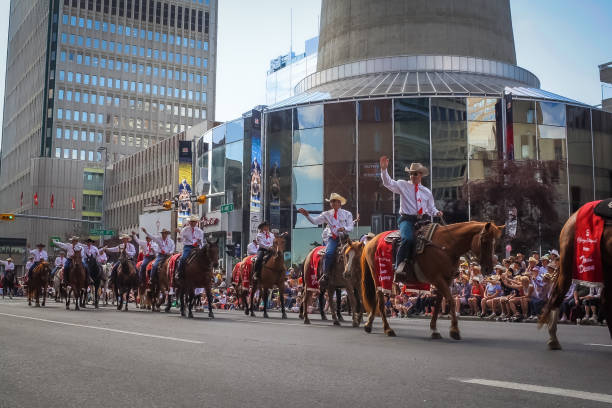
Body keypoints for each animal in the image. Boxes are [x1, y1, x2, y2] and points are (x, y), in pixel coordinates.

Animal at [358, 222, 502, 340]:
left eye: (495, 243)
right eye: (484, 240)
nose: (489, 268)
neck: (446, 246)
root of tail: (371, 241)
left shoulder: (446, 280)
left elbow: (438, 303)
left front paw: (434, 330)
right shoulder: (437, 278)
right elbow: (450, 300)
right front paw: (454, 330)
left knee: (377, 299)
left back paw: (369, 325)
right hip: (379, 276)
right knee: (381, 300)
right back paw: (387, 329)